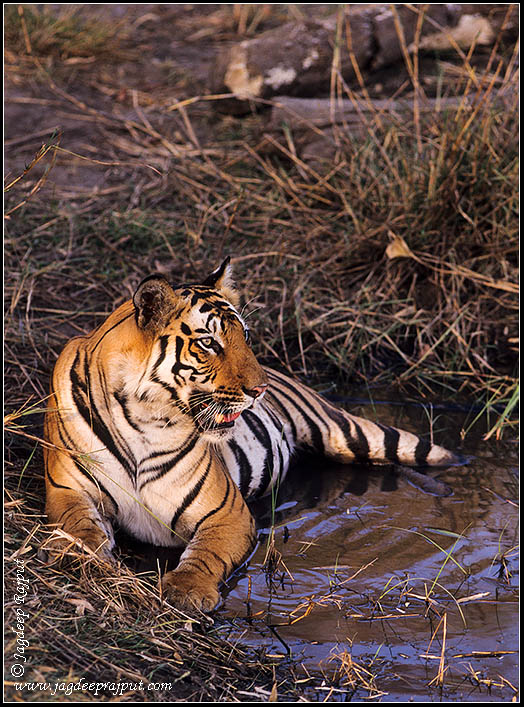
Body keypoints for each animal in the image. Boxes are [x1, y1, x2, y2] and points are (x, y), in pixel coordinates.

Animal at [43, 257, 462, 612]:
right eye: (209, 342)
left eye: (244, 336)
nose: (260, 390)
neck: (142, 419)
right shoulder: (67, 489)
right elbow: (79, 527)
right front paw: (81, 557)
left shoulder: (226, 512)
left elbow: (205, 555)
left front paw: (186, 591)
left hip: (351, 434)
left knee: (426, 453)